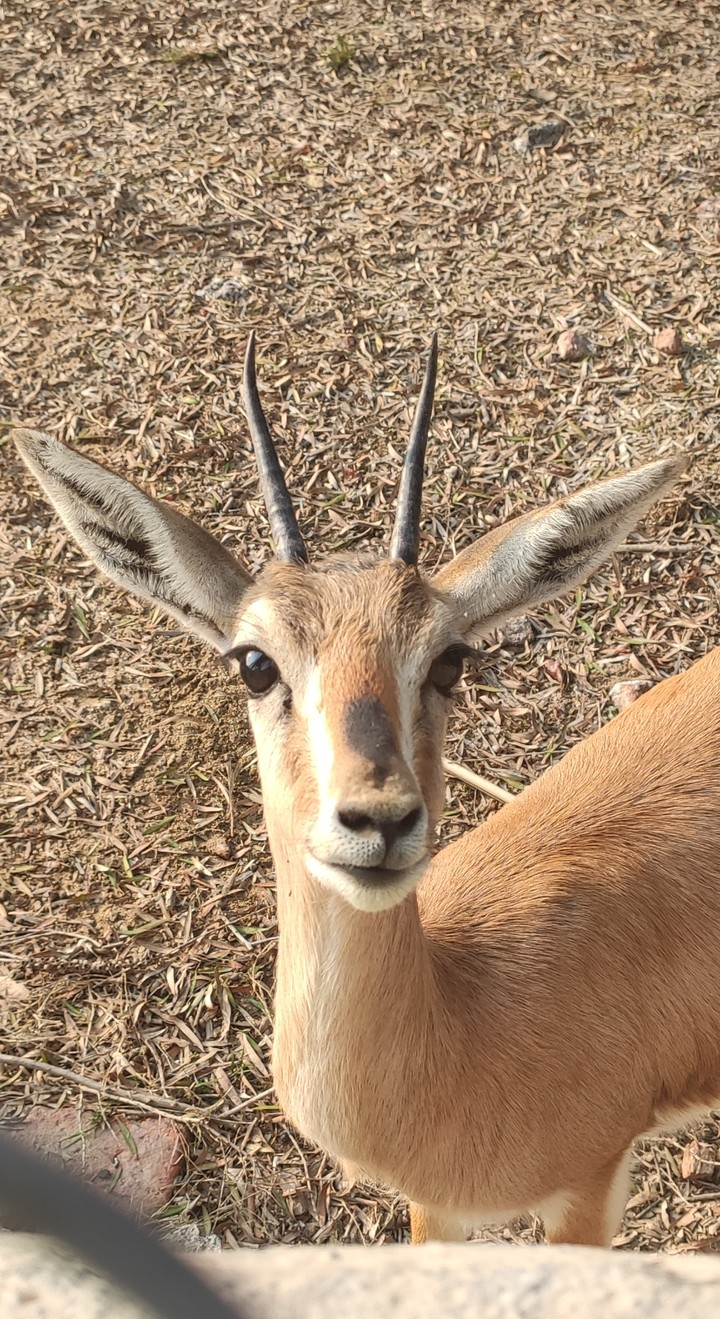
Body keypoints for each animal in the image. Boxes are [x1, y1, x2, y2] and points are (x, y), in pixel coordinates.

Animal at [14, 334, 720, 1250]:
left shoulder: (587, 1190)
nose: (378, 820)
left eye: (451, 659)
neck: (459, 1029)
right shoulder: (436, 1206)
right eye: (254, 662)